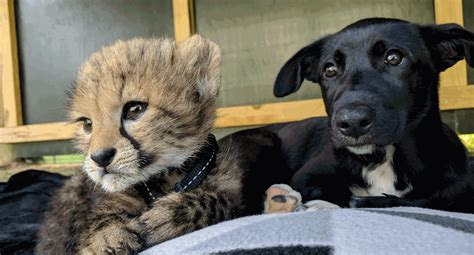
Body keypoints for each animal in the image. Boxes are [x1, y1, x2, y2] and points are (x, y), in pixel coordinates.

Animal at [250, 17, 474, 212]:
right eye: (329, 70)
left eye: (394, 58)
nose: (352, 123)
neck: (382, 160)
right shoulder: (306, 176)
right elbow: (336, 192)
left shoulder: (454, 190)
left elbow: (423, 200)